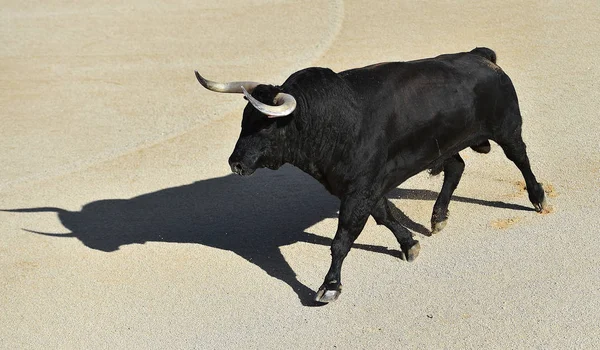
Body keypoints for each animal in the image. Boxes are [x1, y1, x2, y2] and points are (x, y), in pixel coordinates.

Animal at [206, 47, 548, 304]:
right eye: (243, 121)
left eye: (266, 126)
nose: (236, 163)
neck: (332, 119)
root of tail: (480, 55)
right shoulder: (362, 186)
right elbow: (382, 215)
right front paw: (410, 244)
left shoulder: (360, 188)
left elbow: (343, 237)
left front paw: (329, 287)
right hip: (442, 145)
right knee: (455, 166)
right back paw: (438, 216)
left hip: (507, 128)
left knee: (520, 158)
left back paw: (538, 198)